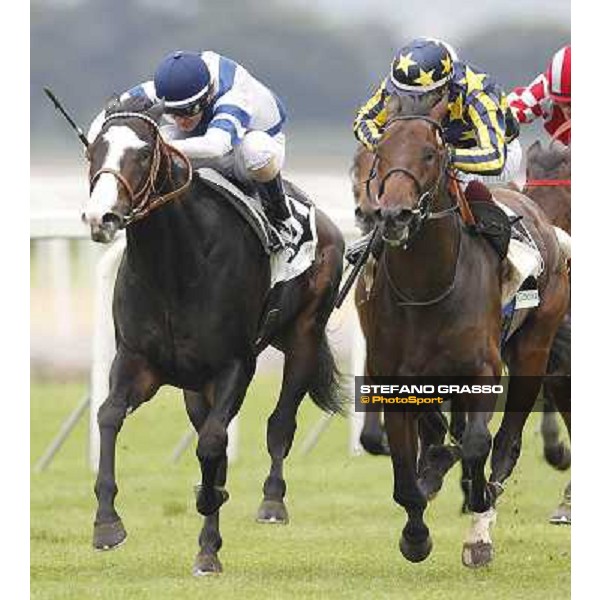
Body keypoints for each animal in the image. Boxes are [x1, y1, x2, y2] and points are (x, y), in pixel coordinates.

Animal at [82, 96, 344, 576]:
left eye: (143, 154)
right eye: (95, 150)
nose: (100, 216)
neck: (173, 267)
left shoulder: (234, 365)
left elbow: (213, 443)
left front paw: (209, 517)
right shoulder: (136, 361)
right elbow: (109, 416)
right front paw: (107, 523)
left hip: (304, 336)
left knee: (280, 423)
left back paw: (271, 501)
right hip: (193, 386)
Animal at [358, 101, 568, 568]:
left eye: (430, 154)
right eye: (380, 153)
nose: (393, 215)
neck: (428, 286)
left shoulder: (482, 371)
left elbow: (476, 444)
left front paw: (478, 515)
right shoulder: (394, 376)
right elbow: (405, 469)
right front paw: (415, 535)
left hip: (534, 350)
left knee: (505, 442)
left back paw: (483, 516)